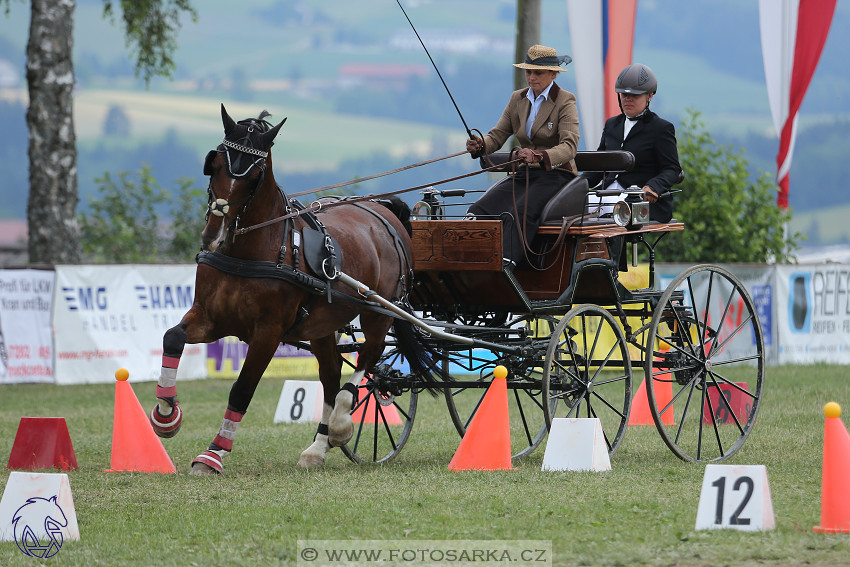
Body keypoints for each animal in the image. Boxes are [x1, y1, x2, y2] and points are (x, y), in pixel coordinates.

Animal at [149, 103, 424, 474]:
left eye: (254, 176)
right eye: (214, 164)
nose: (213, 234)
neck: (248, 250)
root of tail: (383, 211)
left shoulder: (268, 332)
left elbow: (242, 389)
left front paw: (213, 453)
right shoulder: (210, 318)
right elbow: (172, 337)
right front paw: (166, 415)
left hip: (379, 312)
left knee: (367, 360)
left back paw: (340, 425)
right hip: (323, 325)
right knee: (331, 375)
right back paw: (318, 447)